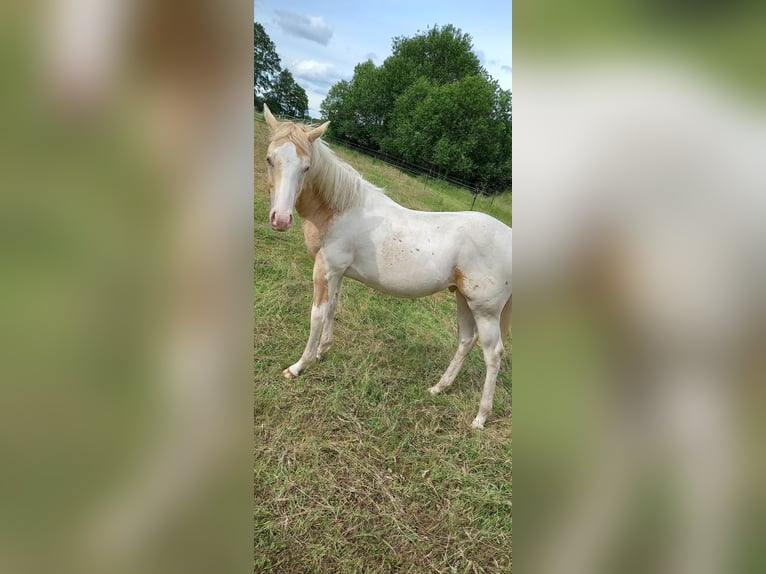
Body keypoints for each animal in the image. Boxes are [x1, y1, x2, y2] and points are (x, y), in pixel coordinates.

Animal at [262, 104, 512, 429]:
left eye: (306, 167)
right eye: (270, 159)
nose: (281, 219)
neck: (340, 209)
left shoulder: (324, 269)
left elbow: (317, 314)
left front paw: (299, 366)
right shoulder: (337, 272)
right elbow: (333, 308)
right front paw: (323, 352)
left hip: (485, 310)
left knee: (492, 355)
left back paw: (480, 418)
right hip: (462, 298)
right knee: (466, 341)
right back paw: (439, 388)